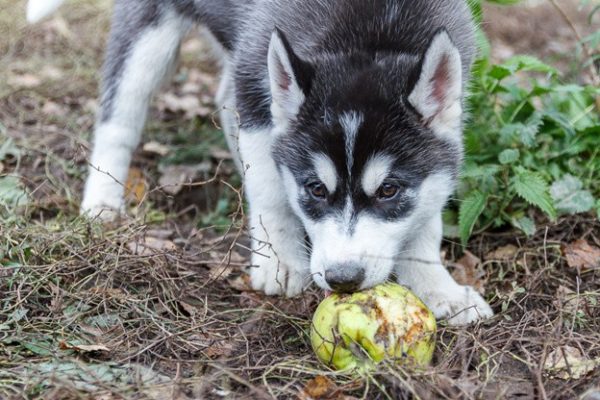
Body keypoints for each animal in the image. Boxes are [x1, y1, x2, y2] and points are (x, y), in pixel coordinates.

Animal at [28, 0, 492, 324]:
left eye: (389, 190)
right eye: (315, 189)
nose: (342, 279)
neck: (369, 38)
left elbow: (425, 222)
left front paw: (439, 288)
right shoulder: (255, 85)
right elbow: (271, 193)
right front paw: (280, 261)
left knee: (222, 98)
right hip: (149, 38)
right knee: (118, 117)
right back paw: (102, 203)